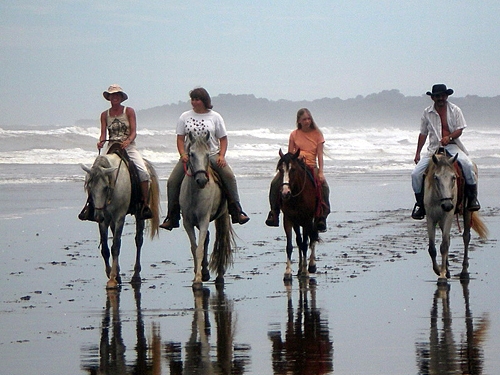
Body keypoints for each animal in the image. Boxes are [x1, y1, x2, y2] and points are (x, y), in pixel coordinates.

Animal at [82, 154, 159, 290]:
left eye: (105, 187)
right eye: (90, 187)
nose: (98, 216)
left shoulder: (119, 218)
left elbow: (116, 247)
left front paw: (112, 279)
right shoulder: (104, 220)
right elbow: (105, 249)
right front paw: (112, 274)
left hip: (139, 215)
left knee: (138, 240)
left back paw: (136, 275)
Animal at [180, 134, 234, 290]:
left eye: (207, 154)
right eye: (191, 154)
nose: (202, 180)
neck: (195, 193)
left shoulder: (204, 219)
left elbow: (199, 249)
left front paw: (198, 281)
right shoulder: (188, 223)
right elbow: (195, 248)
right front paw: (198, 275)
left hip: (223, 215)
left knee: (222, 241)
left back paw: (219, 276)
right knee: (207, 238)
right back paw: (205, 272)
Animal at [274, 150, 320, 282]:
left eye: (293, 169)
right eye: (280, 169)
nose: (285, 193)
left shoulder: (307, 220)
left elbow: (305, 244)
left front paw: (305, 271)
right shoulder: (288, 219)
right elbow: (290, 246)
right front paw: (288, 272)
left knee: (312, 237)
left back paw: (311, 265)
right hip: (296, 222)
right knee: (299, 241)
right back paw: (300, 268)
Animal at [424, 151, 486, 284]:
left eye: (453, 177)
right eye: (436, 178)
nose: (447, 205)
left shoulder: (448, 215)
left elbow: (444, 246)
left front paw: (442, 275)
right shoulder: (430, 218)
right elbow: (432, 248)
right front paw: (439, 270)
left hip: (467, 211)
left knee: (466, 237)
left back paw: (464, 271)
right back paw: (447, 268)